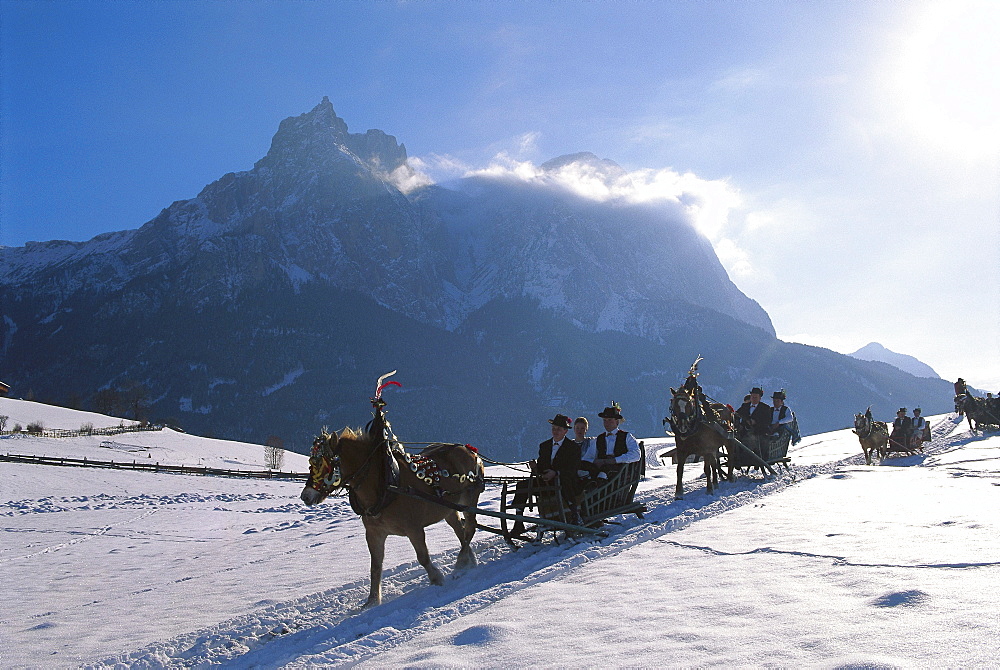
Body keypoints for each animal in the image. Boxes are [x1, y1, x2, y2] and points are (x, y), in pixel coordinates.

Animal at [296, 428, 484, 612]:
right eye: (310, 463)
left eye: (322, 464)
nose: (306, 496)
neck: (386, 485)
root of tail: (469, 450)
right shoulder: (374, 534)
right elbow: (375, 566)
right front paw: (372, 600)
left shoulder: (414, 530)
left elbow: (422, 557)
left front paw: (436, 578)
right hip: (449, 509)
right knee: (460, 531)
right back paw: (469, 560)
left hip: (469, 499)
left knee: (470, 528)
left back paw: (461, 563)